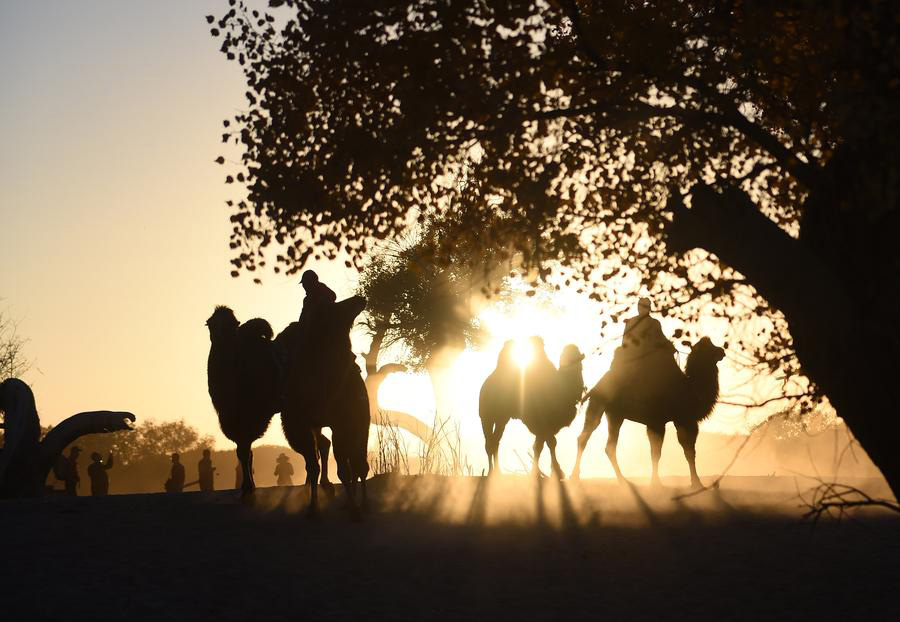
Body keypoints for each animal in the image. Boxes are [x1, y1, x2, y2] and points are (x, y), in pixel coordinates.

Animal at [207, 304, 334, 504]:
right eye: (209, 324)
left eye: (233, 325)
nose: (221, 342)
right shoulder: (233, 419)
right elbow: (245, 452)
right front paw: (248, 488)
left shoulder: (252, 417)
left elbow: (244, 451)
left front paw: (247, 488)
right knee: (321, 443)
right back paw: (317, 485)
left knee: (318, 446)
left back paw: (320, 485)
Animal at [278, 294, 370, 520]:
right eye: (334, 307)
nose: (359, 298)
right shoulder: (298, 425)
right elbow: (312, 466)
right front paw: (312, 508)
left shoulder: (343, 422)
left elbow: (345, 469)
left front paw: (355, 511)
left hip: (361, 423)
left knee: (359, 462)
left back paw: (363, 503)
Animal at [482, 338, 588, 480]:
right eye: (564, 356)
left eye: (576, 355)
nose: (574, 361)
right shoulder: (542, 422)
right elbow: (550, 443)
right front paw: (557, 472)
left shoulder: (543, 427)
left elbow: (538, 446)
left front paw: (538, 473)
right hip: (487, 417)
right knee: (489, 442)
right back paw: (491, 472)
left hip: (501, 419)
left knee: (495, 440)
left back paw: (497, 472)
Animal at [572, 338, 728, 490]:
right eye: (708, 347)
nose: (722, 351)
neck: (690, 389)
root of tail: (597, 385)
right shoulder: (669, 420)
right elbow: (665, 453)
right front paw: (662, 483)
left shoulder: (677, 421)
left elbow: (680, 452)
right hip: (599, 404)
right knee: (586, 437)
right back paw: (575, 478)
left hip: (614, 414)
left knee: (608, 445)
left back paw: (623, 481)